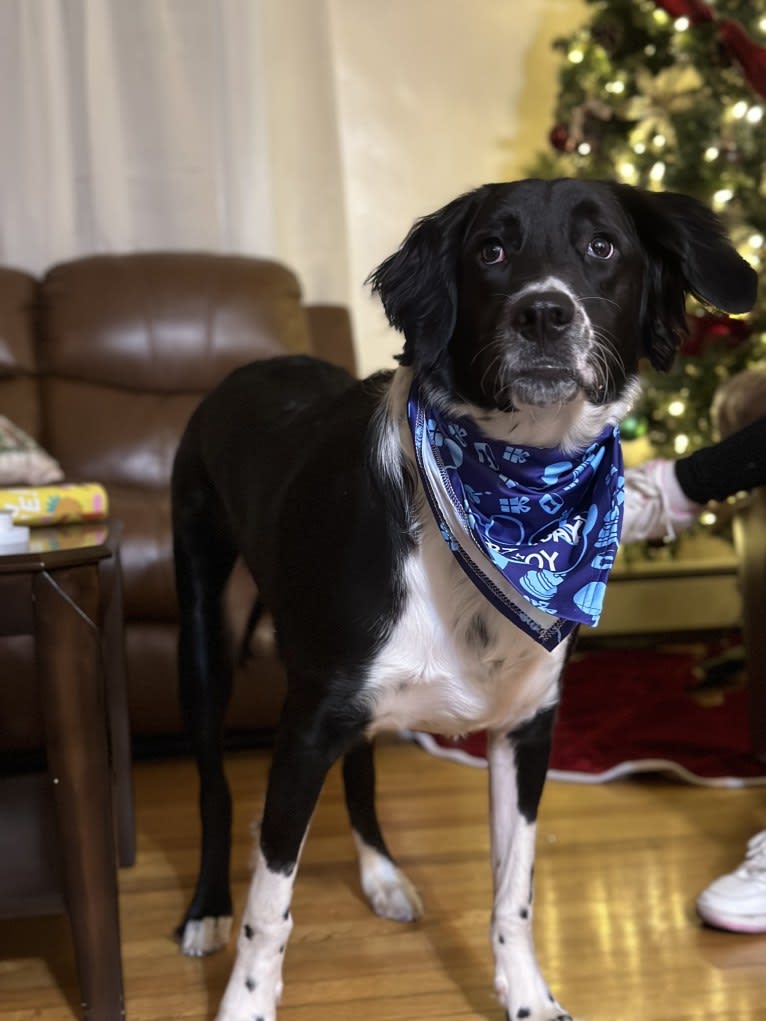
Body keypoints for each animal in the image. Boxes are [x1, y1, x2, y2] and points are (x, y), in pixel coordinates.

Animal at [172, 179, 755, 1016]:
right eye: (492, 250)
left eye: (602, 246)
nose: (544, 313)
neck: (515, 493)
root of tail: (251, 366)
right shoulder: (306, 725)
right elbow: (270, 907)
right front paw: (245, 1001)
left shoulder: (525, 727)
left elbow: (514, 892)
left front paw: (529, 996)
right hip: (202, 635)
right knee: (217, 791)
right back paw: (205, 909)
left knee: (361, 769)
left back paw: (382, 876)